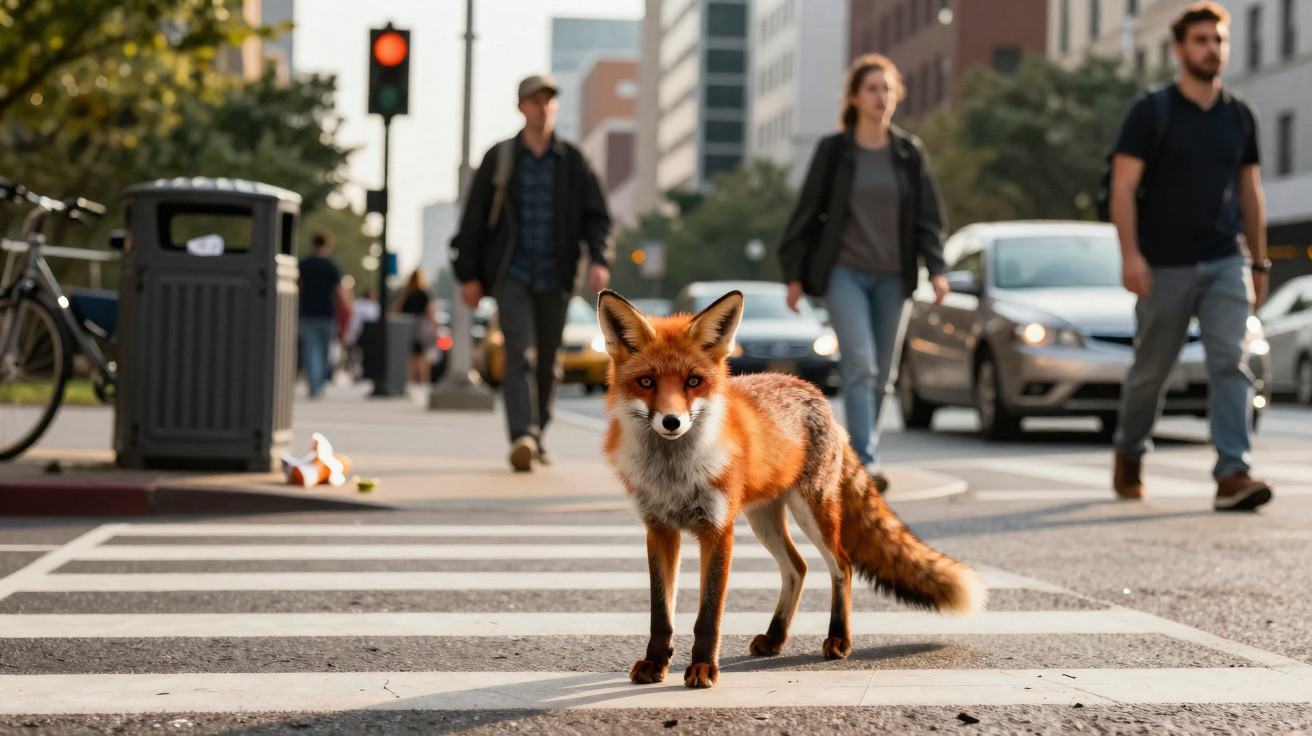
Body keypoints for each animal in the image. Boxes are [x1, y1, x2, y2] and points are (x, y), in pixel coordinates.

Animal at [596, 288, 986, 689]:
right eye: (646, 382)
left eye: (693, 382)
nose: (672, 422)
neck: (674, 474)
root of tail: (816, 393)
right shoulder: (659, 529)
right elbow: (661, 613)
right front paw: (656, 662)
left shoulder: (718, 530)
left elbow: (708, 616)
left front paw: (703, 667)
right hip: (763, 520)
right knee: (797, 567)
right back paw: (775, 636)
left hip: (812, 512)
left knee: (842, 564)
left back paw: (838, 637)